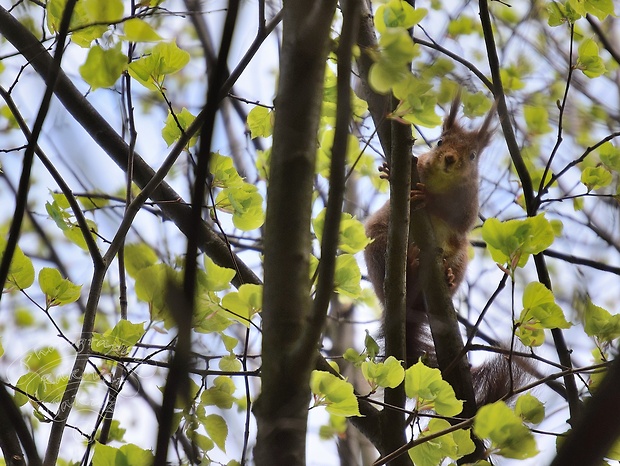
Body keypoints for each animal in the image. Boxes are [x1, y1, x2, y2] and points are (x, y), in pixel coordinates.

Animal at [364, 93, 528, 404]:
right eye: (440, 142)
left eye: (473, 155)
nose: (450, 159)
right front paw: (391, 172)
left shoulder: (468, 204)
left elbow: (458, 219)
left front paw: (428, 198)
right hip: (378, 243)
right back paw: (410, 264)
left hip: (460, 256)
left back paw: (448, 278)